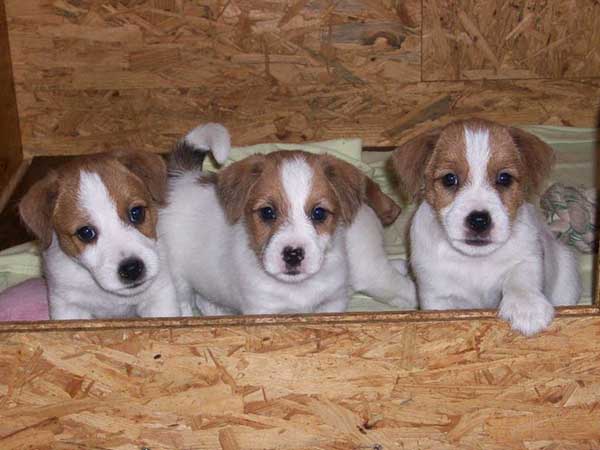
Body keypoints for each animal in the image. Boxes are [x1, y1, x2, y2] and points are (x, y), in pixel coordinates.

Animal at [160, 123, 417, 316]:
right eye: (267, 212)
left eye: (319, 213)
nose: (293, 254)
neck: (297, 288)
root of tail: (184, 178)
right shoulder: (263, 310)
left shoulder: (332, 303)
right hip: (177, 277)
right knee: (184, 302)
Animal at [390, 118, 581, 335]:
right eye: (449, 179)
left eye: (504, 178)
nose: (479, 220)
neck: (476, 260)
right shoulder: (437, 297)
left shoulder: (528, 257)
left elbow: (520, 278)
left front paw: (527, 306)